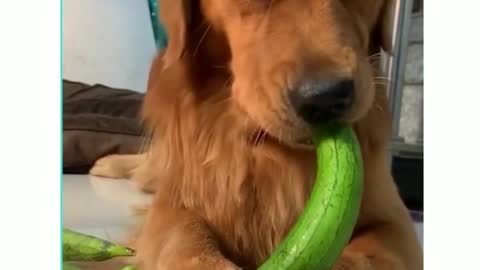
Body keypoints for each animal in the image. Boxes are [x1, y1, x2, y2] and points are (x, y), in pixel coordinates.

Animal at [88, 0, 422, 268]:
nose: (325, 98)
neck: (269, 151)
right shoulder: (175, 204)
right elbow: (186, 240)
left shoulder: (394, 221)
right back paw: (107, 163)